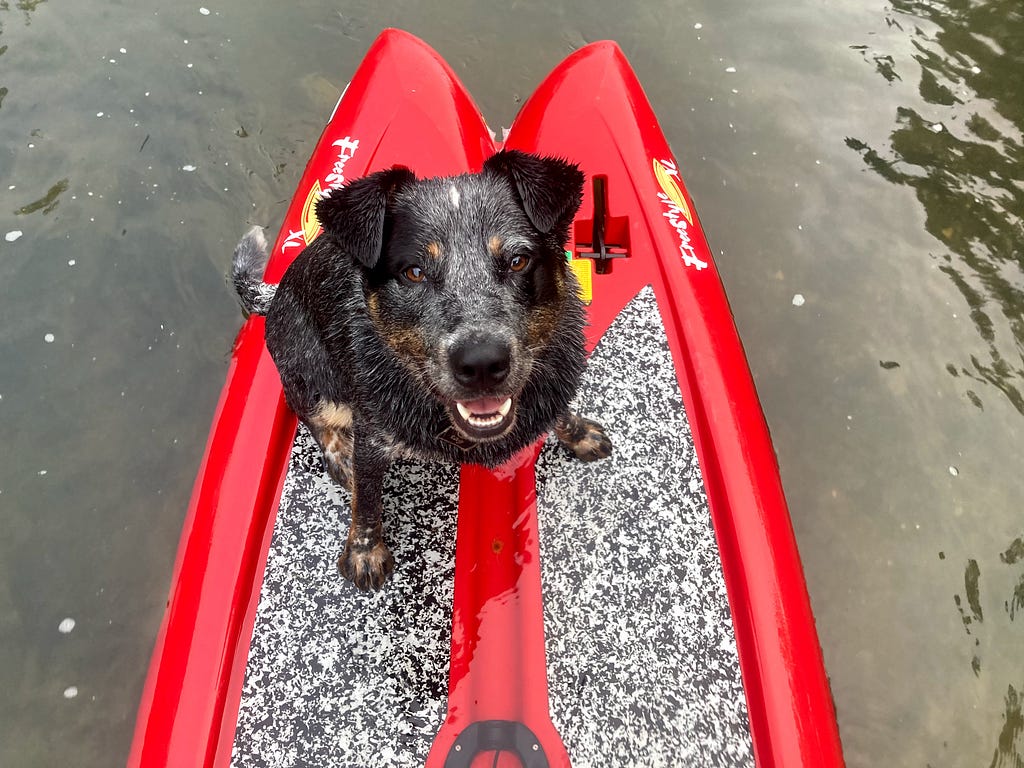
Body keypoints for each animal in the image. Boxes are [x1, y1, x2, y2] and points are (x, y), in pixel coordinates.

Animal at [235, 151, 610, 593]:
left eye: (518, 260)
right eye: (414, 272)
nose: (481, 362)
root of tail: (272, 295)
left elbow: (560, 412)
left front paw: (579, 433)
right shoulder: (372, 434)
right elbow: (367, 499)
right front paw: (364, 552)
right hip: (312, 375)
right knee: (313, 417)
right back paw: (339, 454)